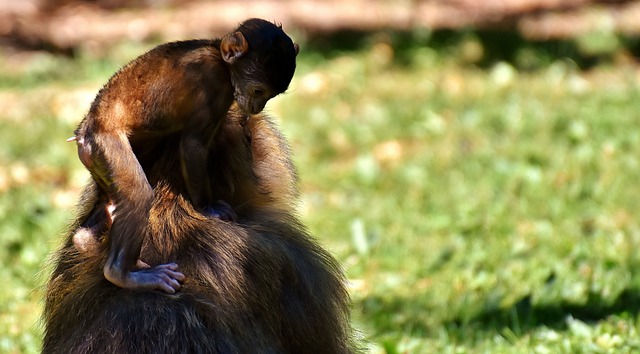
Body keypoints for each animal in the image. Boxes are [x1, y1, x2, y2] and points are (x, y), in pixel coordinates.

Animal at [69, 18, 298, 294]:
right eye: (257, 91)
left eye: (268, 95)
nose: (257, 107)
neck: (219, 57)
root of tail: (85, 132)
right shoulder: (214, 84)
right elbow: (193, 145)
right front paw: (207, 208)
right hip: (105, 143)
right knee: (138, 195)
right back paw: (122, 274)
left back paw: (90, 239)